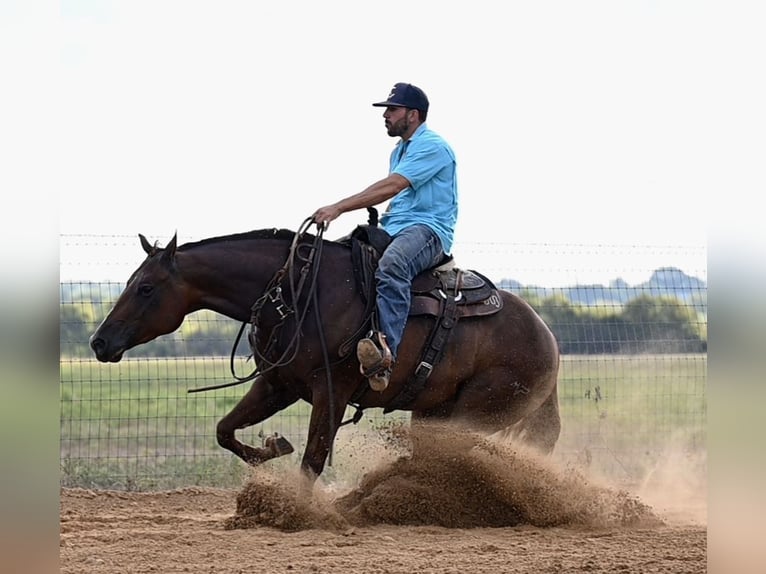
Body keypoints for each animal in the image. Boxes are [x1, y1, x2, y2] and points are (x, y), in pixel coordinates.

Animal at [90, 220, 560, 486]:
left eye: (145, 287)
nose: (99, 341)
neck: (298, 293)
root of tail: (548, 339)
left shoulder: (331, 391)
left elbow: (313, 461)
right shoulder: (278, 384)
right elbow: (225, 431)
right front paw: (273, 447)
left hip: (477, 411)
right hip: (433, 412)